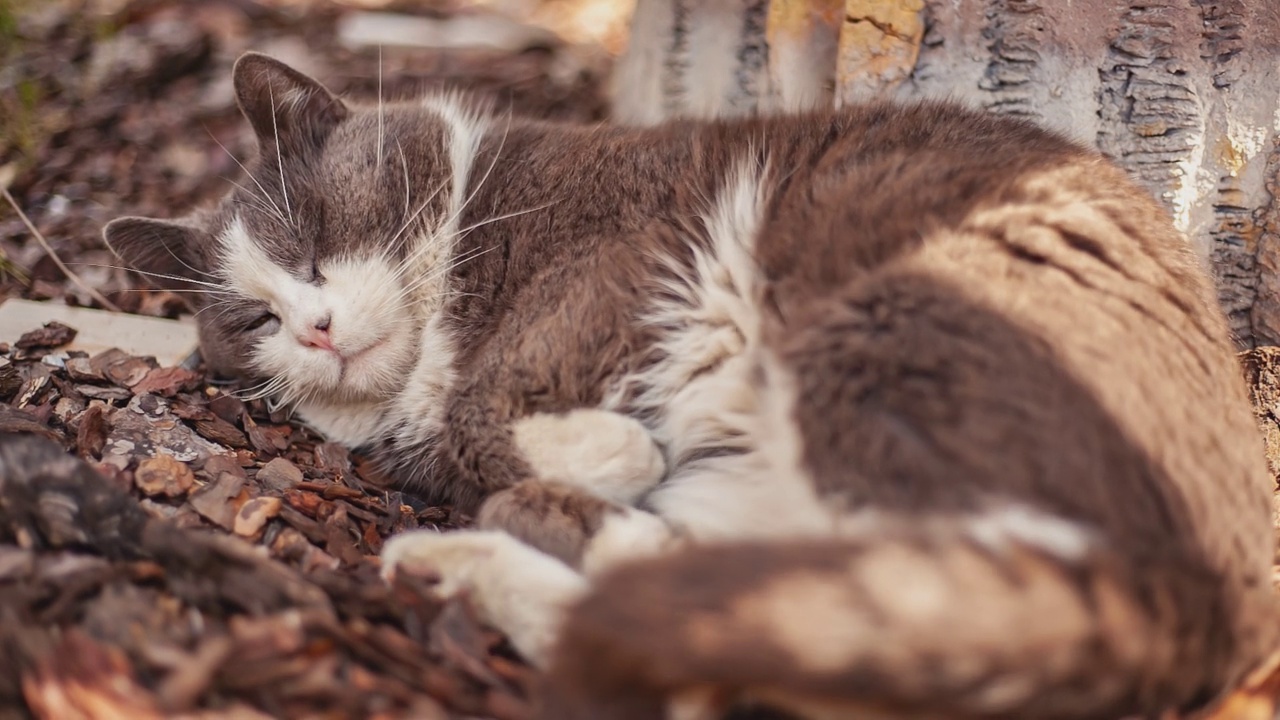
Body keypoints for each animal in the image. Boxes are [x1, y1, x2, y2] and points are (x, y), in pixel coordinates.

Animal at [102, 53, 1280, 712]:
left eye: (309, 245)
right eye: (251, 320)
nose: (313, 327)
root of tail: (1216, 608)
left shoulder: (627, 248)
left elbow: (505, 385)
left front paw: (607, 446)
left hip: (886, 336)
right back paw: (454, 559)